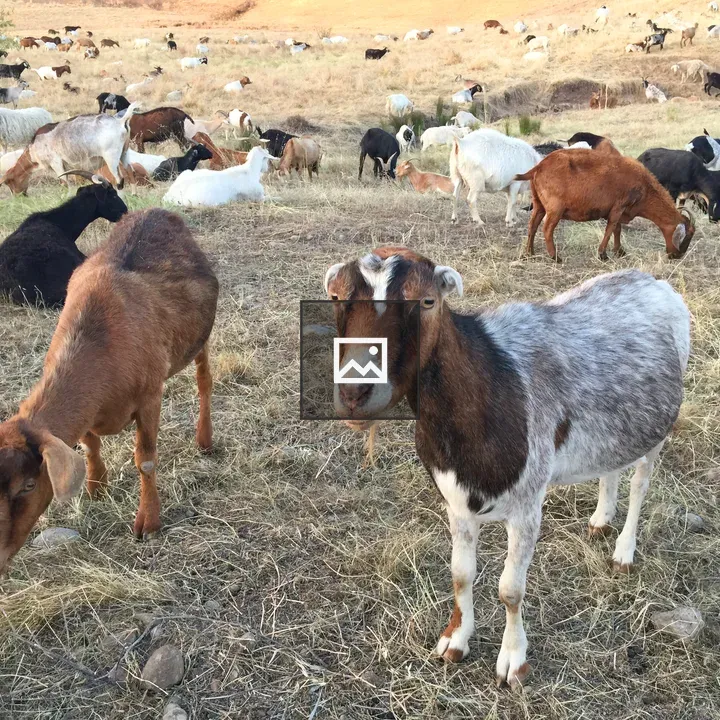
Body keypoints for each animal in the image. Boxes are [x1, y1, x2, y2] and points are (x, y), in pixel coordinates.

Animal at [0, 208, 219, 574]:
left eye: (28, 485)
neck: (99, 342)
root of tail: (155, 210)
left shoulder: (150, 396)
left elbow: (145, 460)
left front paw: (149, 522)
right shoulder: (89, 412)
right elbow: (89, 444)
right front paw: (96, 486)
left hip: (200, 339)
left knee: (204, 381)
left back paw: (204, 439)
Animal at [324, 248, 690, 687]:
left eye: (427, 301)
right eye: (335, 297)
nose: (354, 394)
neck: (488, 384)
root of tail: (653, 281)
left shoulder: (528, 503)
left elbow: (510, 589)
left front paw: (514, 661)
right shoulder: (456, 500)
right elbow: (461, 573)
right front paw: (455, 640)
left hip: (659, 427)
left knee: (641, 482)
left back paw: (623, 550)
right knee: (612, 463)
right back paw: (601, 519)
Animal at [517, 149, 694, 260]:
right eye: (686, 236)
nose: (676, 256)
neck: (644, 187)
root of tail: (538, 167)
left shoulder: (620, 210)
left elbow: (617, 229)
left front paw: (619, 251)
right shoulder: (619, 207)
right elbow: (611, 229)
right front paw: (603, 254)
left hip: (538, 204)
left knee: (532, 226)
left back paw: (528, 254)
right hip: (555, 209)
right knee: (547, 229)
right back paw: (555, 257)